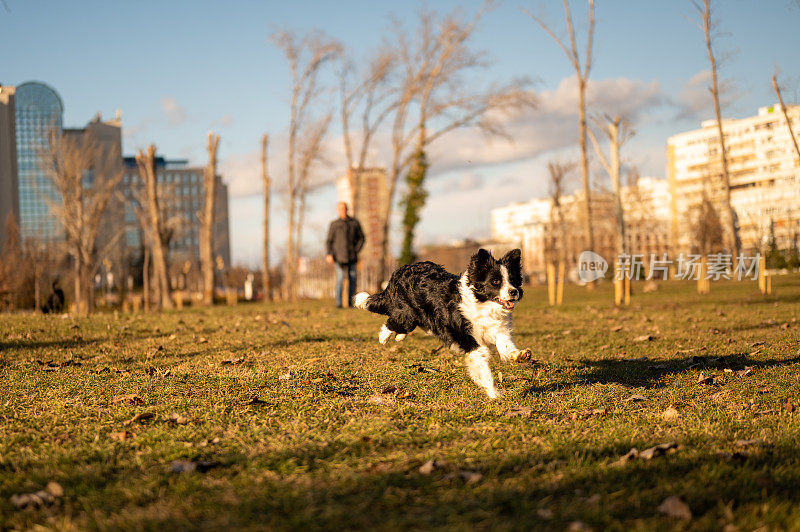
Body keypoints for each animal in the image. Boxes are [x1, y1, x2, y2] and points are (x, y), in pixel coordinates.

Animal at [356, 247, 532, 396]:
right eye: (495, 282)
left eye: (513, 280)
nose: (514, 292)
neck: (484, 305)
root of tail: (400, 270)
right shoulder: (468, 339)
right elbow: (483, 366)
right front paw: (495, 394)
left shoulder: (499, 329)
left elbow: (506, 346)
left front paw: (520, 355)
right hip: (406, 314)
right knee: (393, 321)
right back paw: (384, 337)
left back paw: (399, 337)